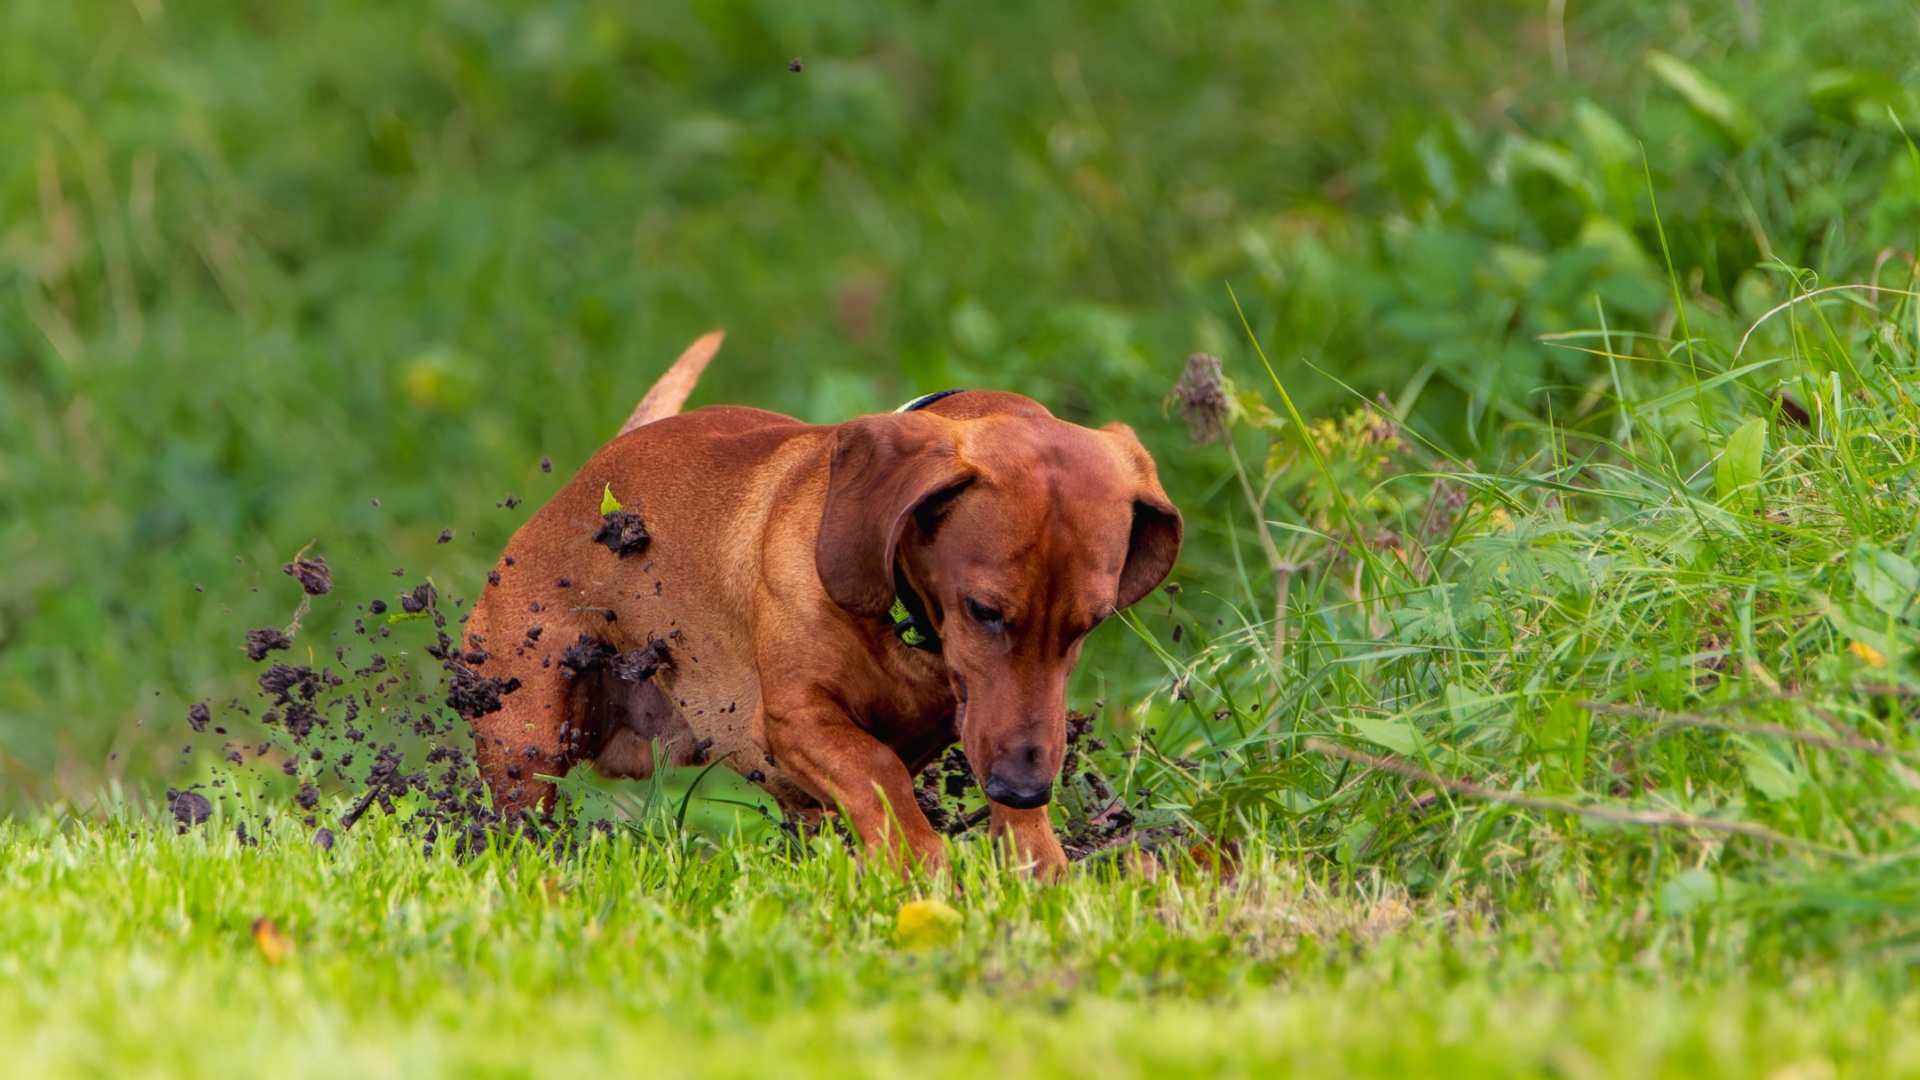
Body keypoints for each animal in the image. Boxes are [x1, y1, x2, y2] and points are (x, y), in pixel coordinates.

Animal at [470, 334, 1175, 876]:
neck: (905, 633)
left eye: (1090, 624)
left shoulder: (988, 719)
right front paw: (922, 861)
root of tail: (588, 483)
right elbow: (877, 769)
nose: (1022, 789)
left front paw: (1040, 861)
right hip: (525, 739)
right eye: (984, 611)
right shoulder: (794, 718)